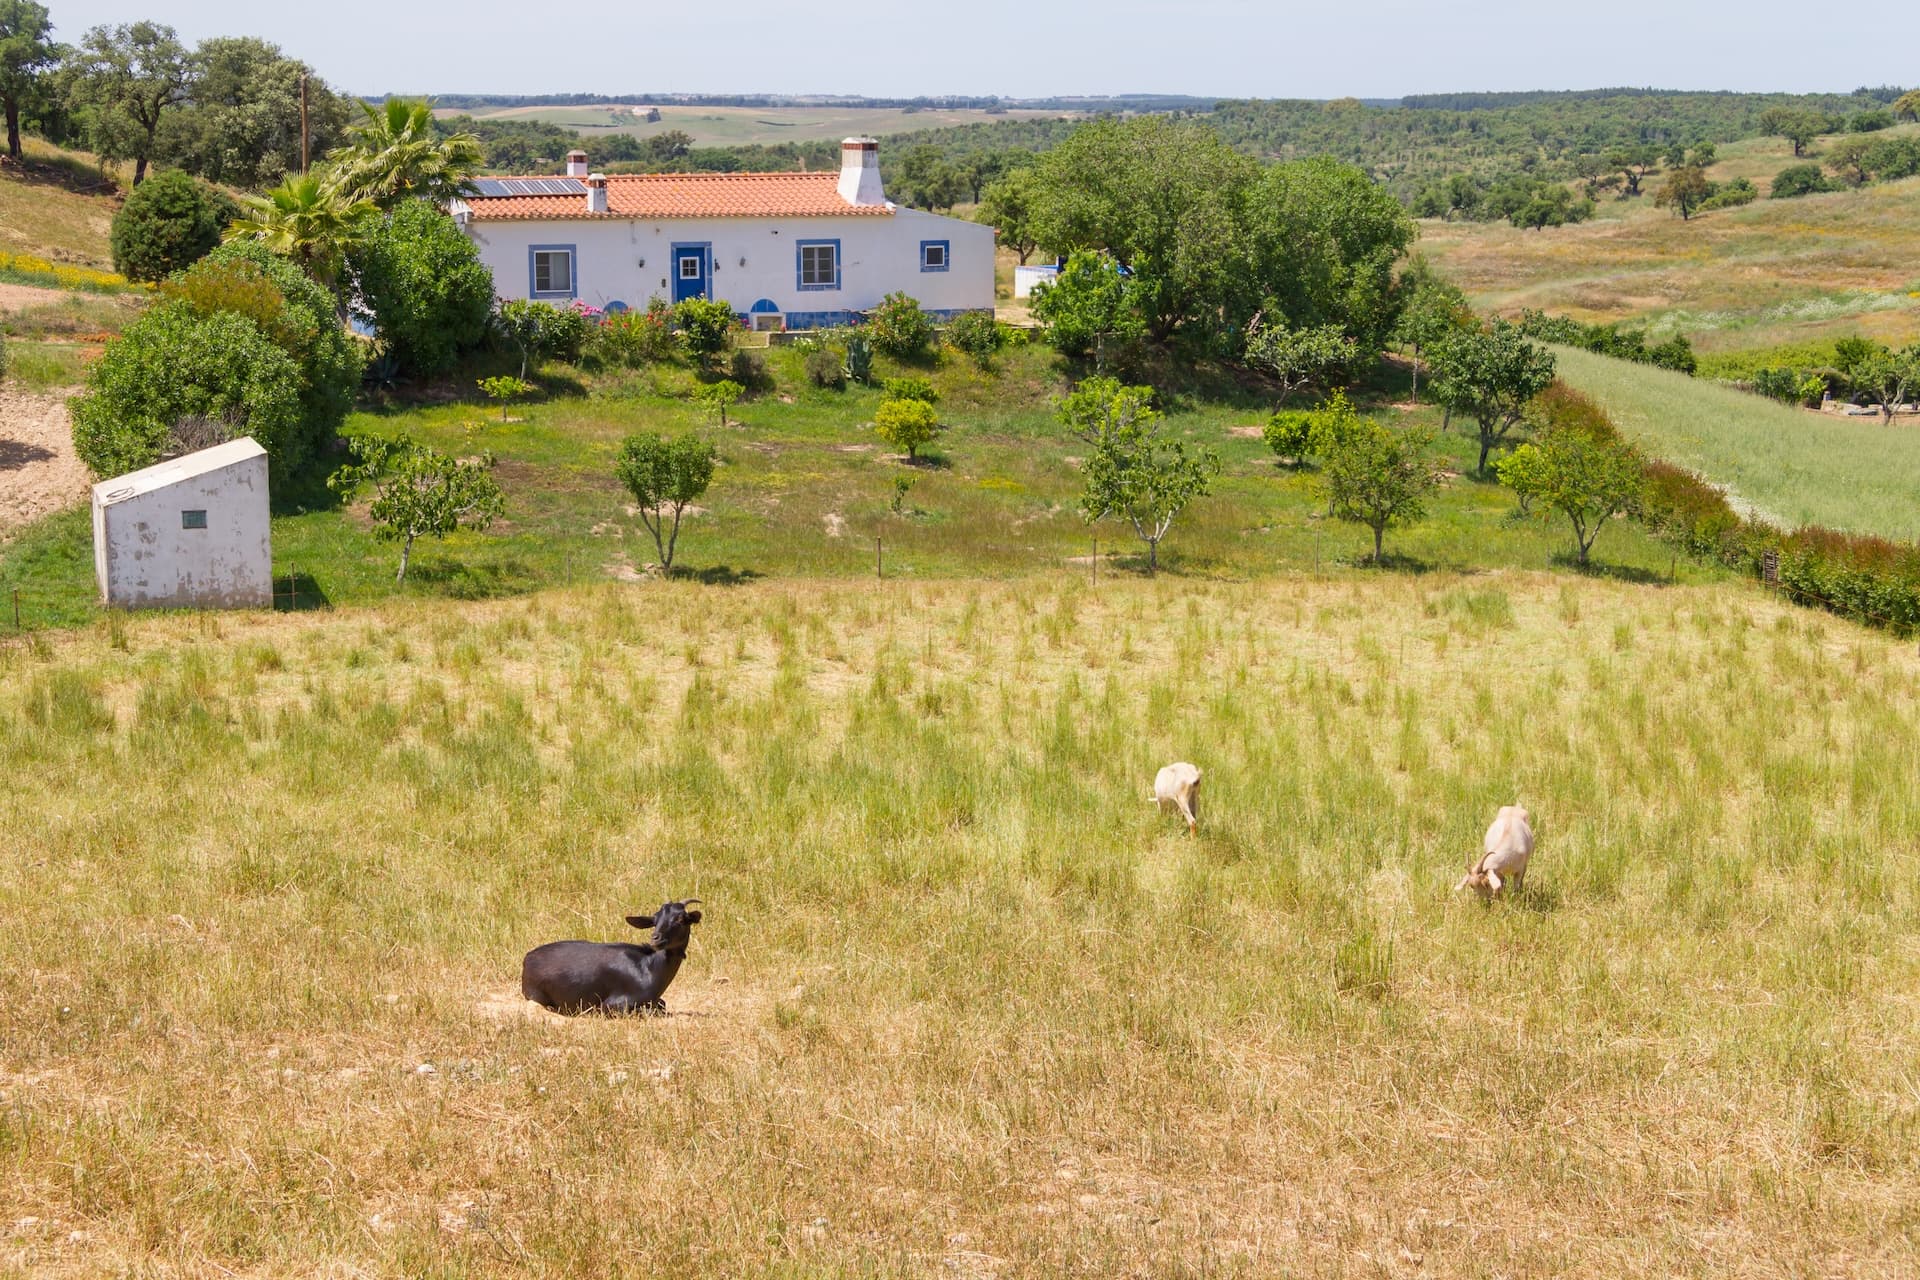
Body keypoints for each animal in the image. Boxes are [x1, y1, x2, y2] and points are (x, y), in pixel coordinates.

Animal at [521, 900, 703, 1015]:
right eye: (655, 920)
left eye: (681, 919)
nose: (655, 938)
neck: (649, 969)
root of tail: (527, 958)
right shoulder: (612, 1005)